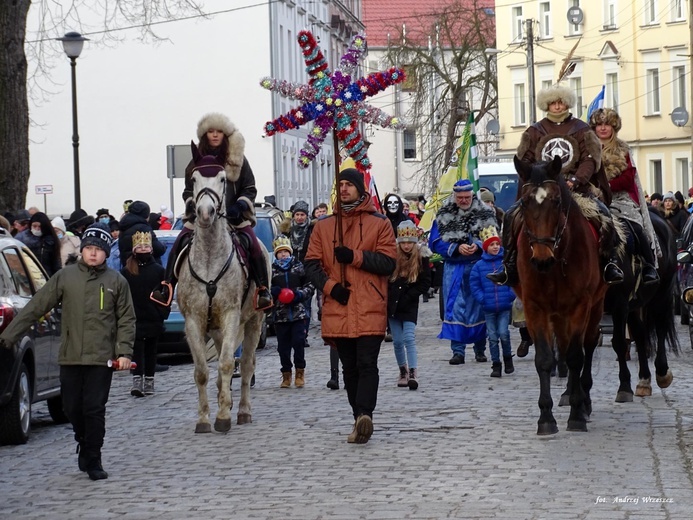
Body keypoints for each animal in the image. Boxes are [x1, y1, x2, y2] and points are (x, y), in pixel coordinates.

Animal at [176, 145, 268, 430]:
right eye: (194, 179)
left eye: (222, 178)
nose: (205, 213)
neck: (209, 258)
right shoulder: (193, 321)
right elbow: (202, 372)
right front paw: (205, 418)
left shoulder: (231, 316)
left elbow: (228, 364)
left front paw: (224, 417)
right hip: (215, 328)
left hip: (254, 321)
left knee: (247, 365)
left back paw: (242, 411)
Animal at [510, 156, 608, 436]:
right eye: (524, 202)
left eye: (555, 201)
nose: (541, 259)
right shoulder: (535, 308)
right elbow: (544, 359)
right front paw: (546, 418)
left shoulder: (580, 306)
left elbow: (576, 357)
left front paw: (576, 414)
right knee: (563, 346)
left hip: (595, 306)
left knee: (587, 345)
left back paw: (583, 401)